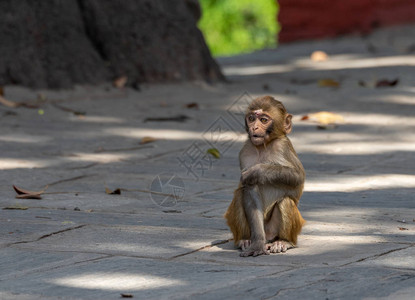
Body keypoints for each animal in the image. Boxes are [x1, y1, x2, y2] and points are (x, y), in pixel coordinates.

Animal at [224, 95, 306, 255]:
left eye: (263, 120)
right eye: (251, 118)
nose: (254, 127)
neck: (264, 147)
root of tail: (269, 235)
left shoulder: (282, 146)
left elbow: (298, 177)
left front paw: (258, 171)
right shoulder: (246, 151)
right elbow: (249, 190)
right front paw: (257, 244)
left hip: (278, 229)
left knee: (285, 201)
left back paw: (283, 241)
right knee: (240, 195)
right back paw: (244, 240)